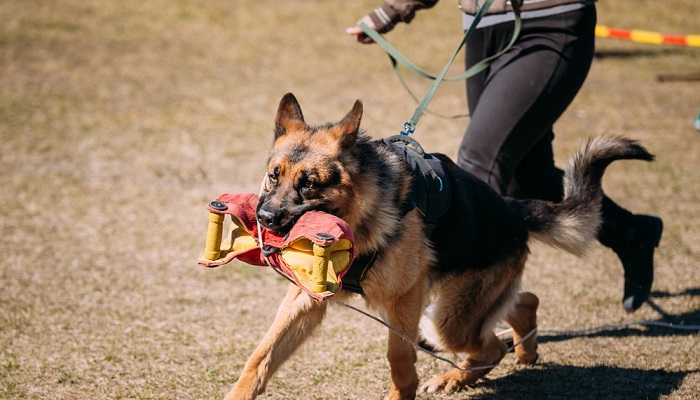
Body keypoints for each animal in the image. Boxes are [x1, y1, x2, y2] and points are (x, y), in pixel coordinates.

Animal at [226, 94, 656, 400]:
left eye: (310, 184)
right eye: (273, 176)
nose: (264, 218)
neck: (361, 215)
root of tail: (513, 209)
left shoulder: (405, 298)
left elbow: (399, 357)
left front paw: (403, 393)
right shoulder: (306, 299)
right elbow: (261, 356)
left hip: (442, 319)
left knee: (491, 346)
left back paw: (455, 377)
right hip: (458, 303)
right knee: (521, 304)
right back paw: (524, 350)